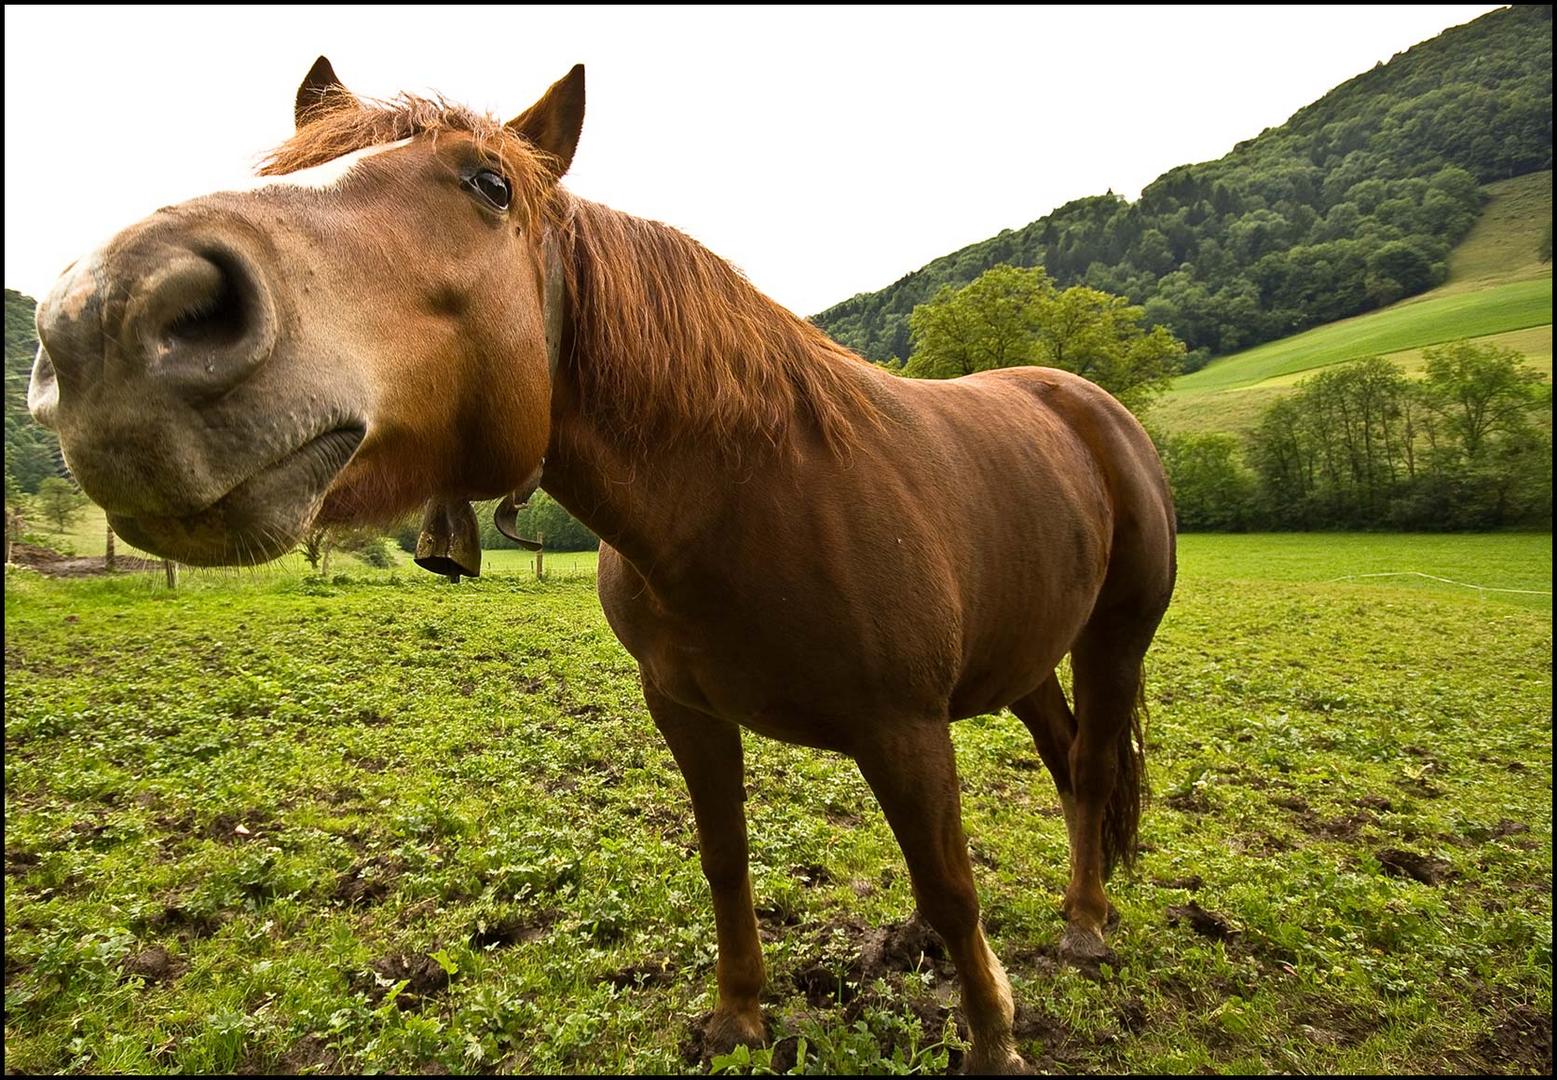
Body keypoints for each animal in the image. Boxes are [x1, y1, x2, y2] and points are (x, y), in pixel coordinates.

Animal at [27, 61, 1170, 1076]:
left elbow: (949, 889)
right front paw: (739, 1019)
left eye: (489, 184)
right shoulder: (685, 707)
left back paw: (1085, 924)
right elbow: (724, 859)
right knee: (1067, 758)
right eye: (285, 164)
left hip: (1113, 639)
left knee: (1092, 764)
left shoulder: (904, 728)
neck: (746, 493)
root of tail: (1086, 402)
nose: (109, 316)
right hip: (1025, 657)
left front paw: (994, 1043)